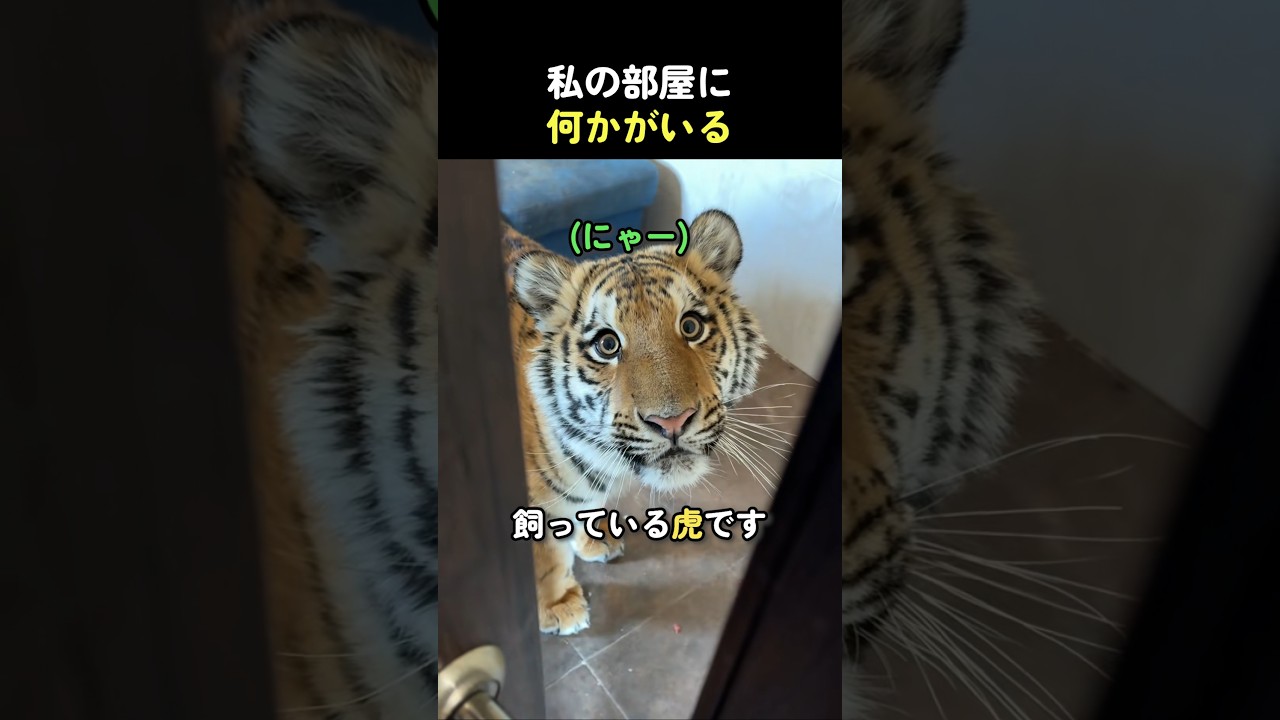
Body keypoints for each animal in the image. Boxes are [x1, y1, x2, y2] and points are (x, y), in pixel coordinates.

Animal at [500, 210, 768, 635]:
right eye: (606, 344)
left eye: (691, 326)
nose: (672, 421)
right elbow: (545, 560)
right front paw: (559, 608)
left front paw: (595, 542)